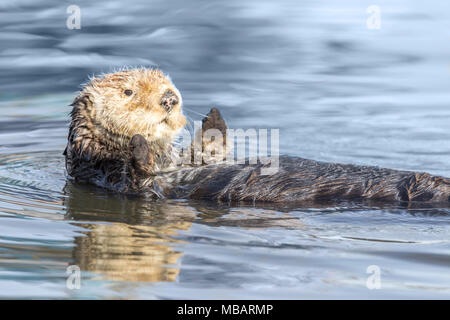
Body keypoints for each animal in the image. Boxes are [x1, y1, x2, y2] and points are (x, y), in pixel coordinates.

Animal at [64, 68, 450, 202]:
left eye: (166, 81)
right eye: (128, 91)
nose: (169, 99)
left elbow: (209, 152)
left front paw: (214, 119)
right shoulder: (105, 174)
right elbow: (139, 179)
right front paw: (139, 144)